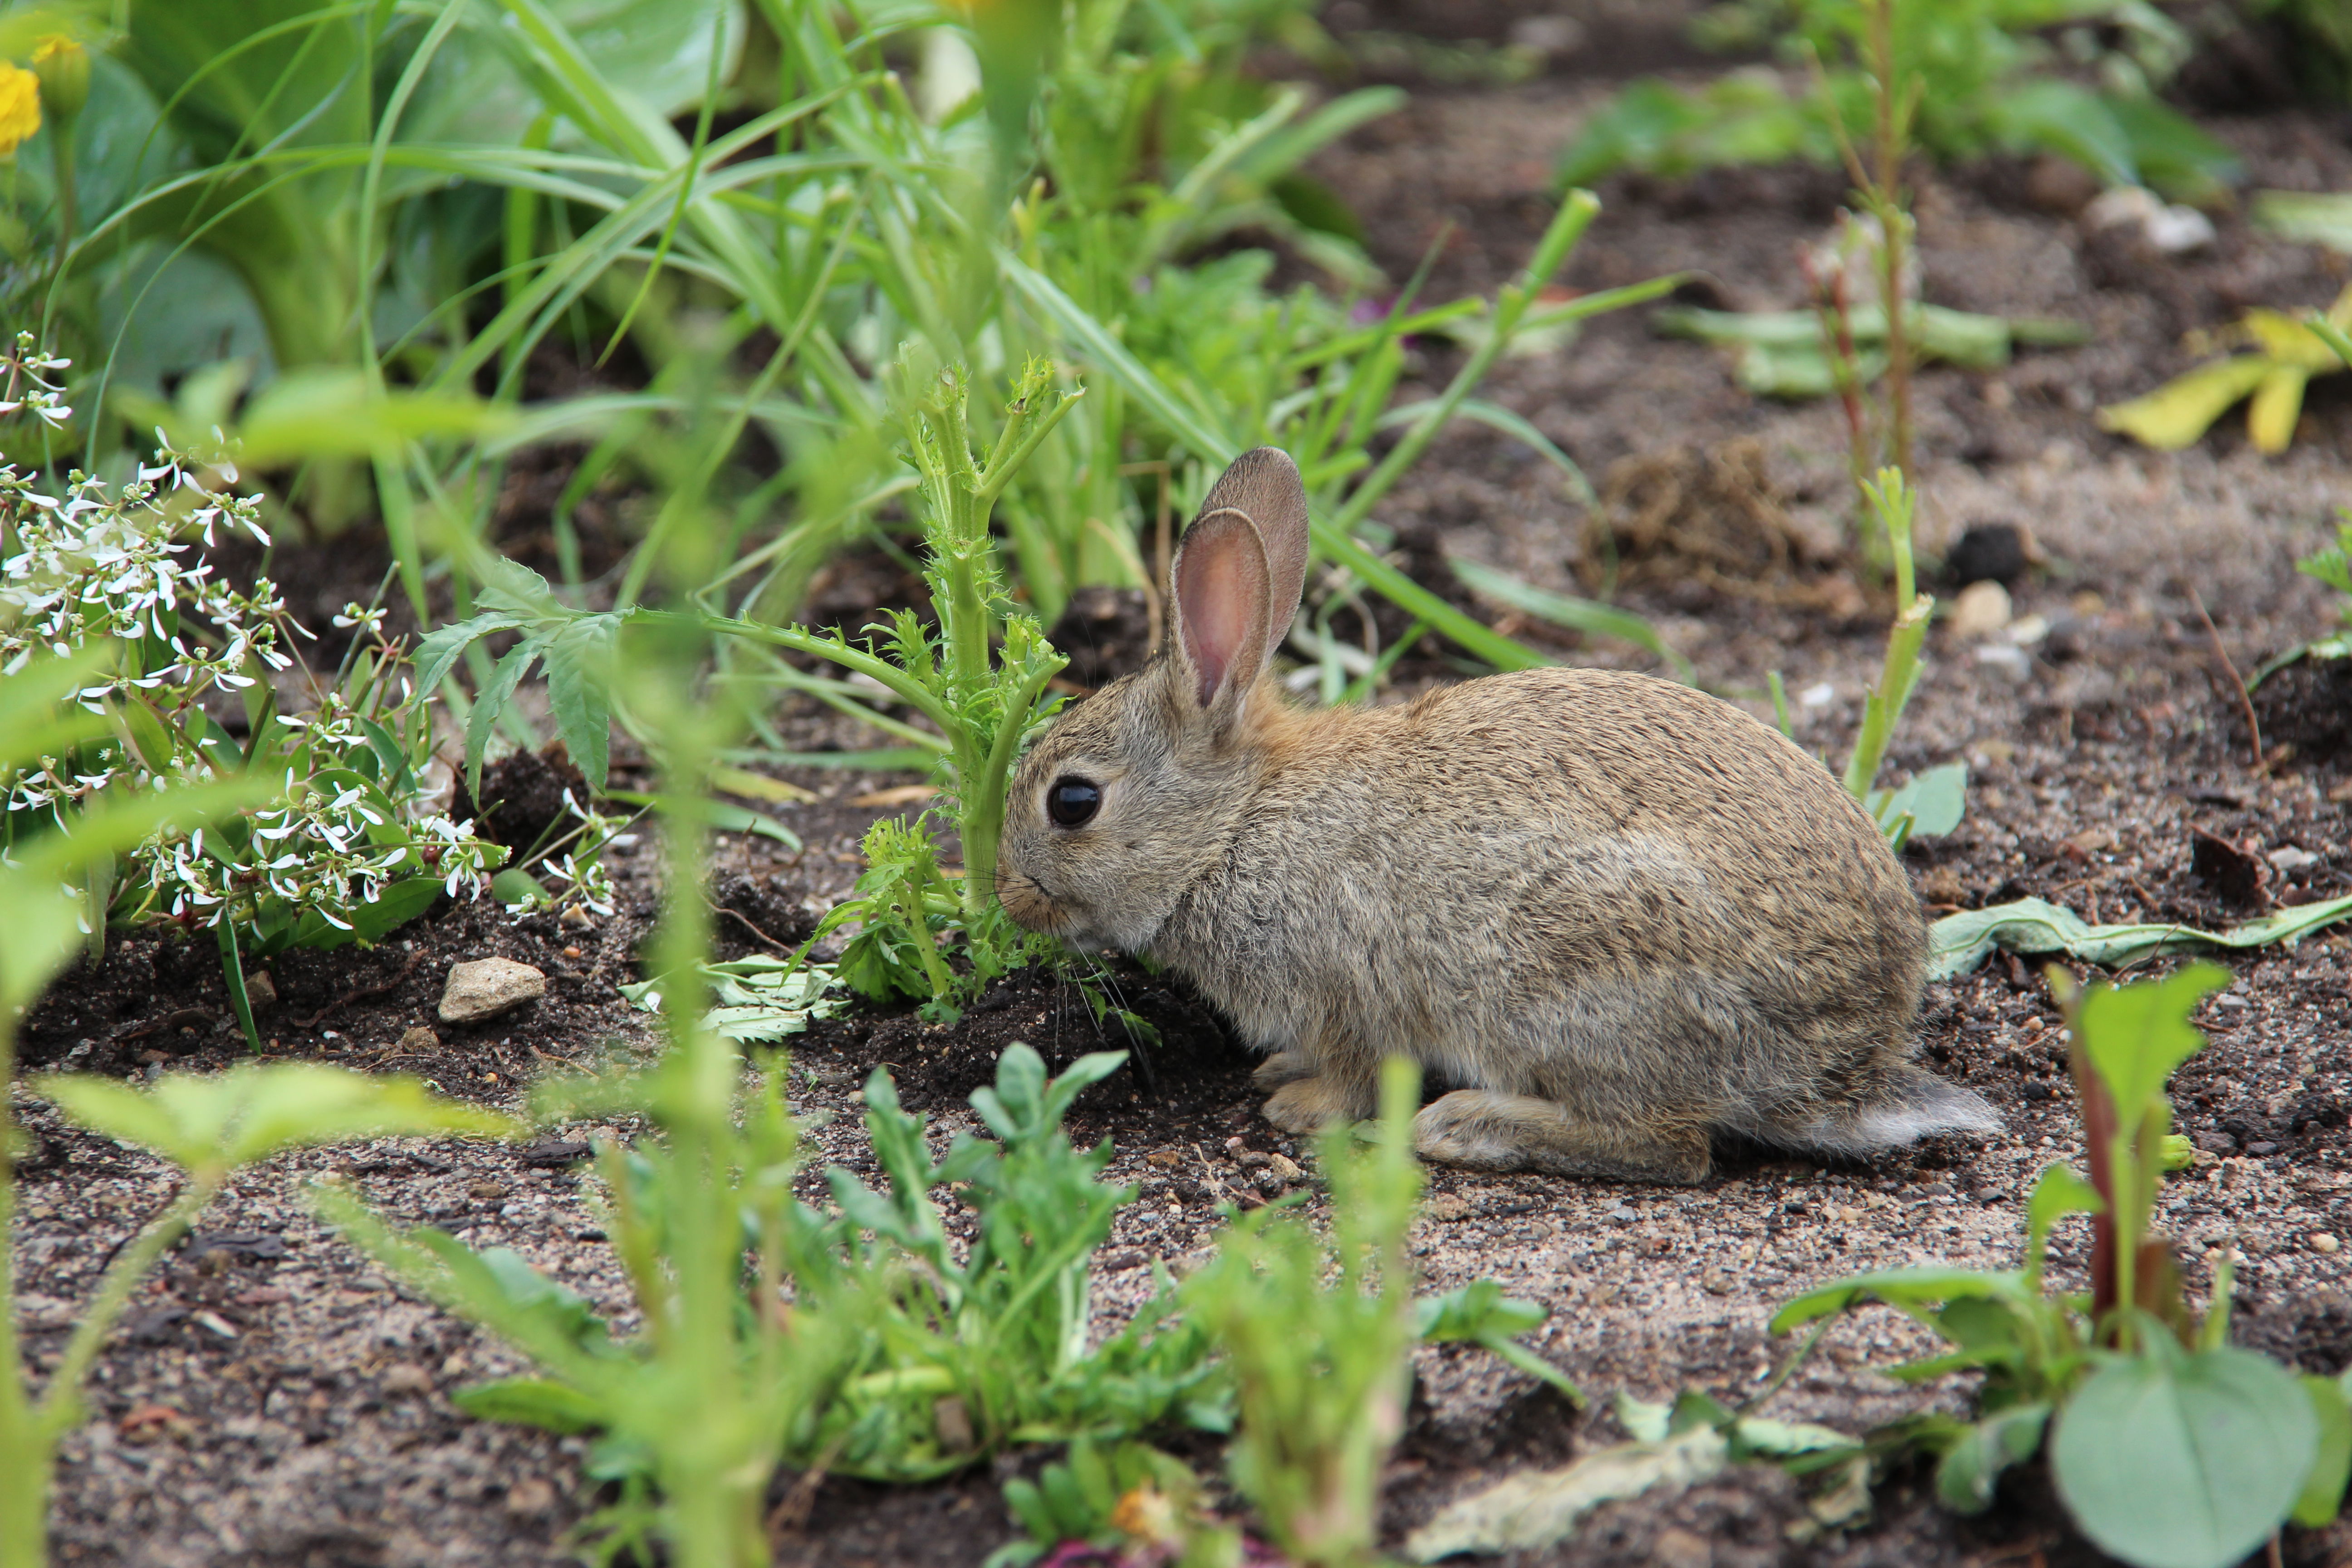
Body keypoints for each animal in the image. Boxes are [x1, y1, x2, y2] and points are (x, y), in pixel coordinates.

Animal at [997, 446, 2004, 1185]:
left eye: (1073, 802)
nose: (1007, 897)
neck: (1234, 823)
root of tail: (1845, 1067)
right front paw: (1279, 1074)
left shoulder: (1342, 986)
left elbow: (1355, 1073)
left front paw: (1296, 1106)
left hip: (1568, 983)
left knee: (1673, 1146)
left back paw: (1467, 1125)